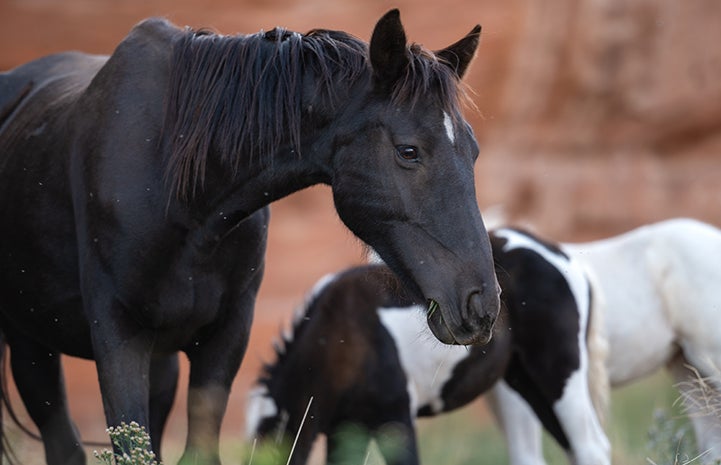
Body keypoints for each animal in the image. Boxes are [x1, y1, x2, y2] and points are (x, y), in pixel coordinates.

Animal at [0, 8, 498, 464]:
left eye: (474, 151)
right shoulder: (118, 339)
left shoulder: (225, 337)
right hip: (32, 348)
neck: (177, 189)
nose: (482, 305)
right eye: (408, 151)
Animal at [246, 227, 608, 464]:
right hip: (525, 381)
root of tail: (561, 255)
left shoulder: (395, 418)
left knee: (590, 446)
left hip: (558, 372)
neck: (338, 335)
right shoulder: (345, 427)